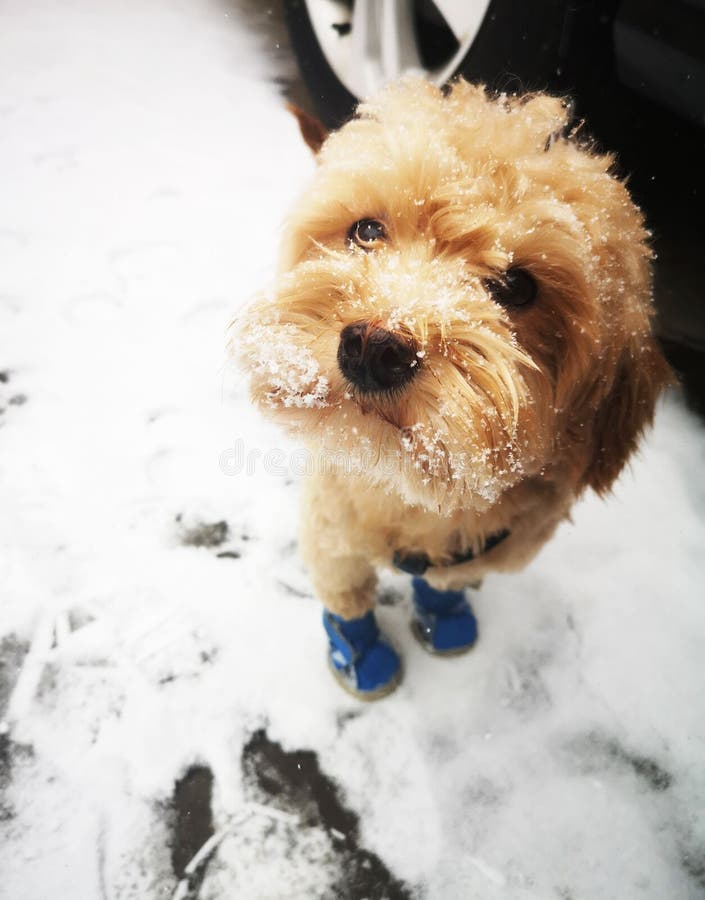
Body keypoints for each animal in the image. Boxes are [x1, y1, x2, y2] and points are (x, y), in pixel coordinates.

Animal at [235, 77, 672, 700]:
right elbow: (347, 598)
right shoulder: (332, 533)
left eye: (517, 287)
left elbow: (445, 587)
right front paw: (359, 654)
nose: (374, 348)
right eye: (366, 231)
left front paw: (443, 619)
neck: (413, 497)